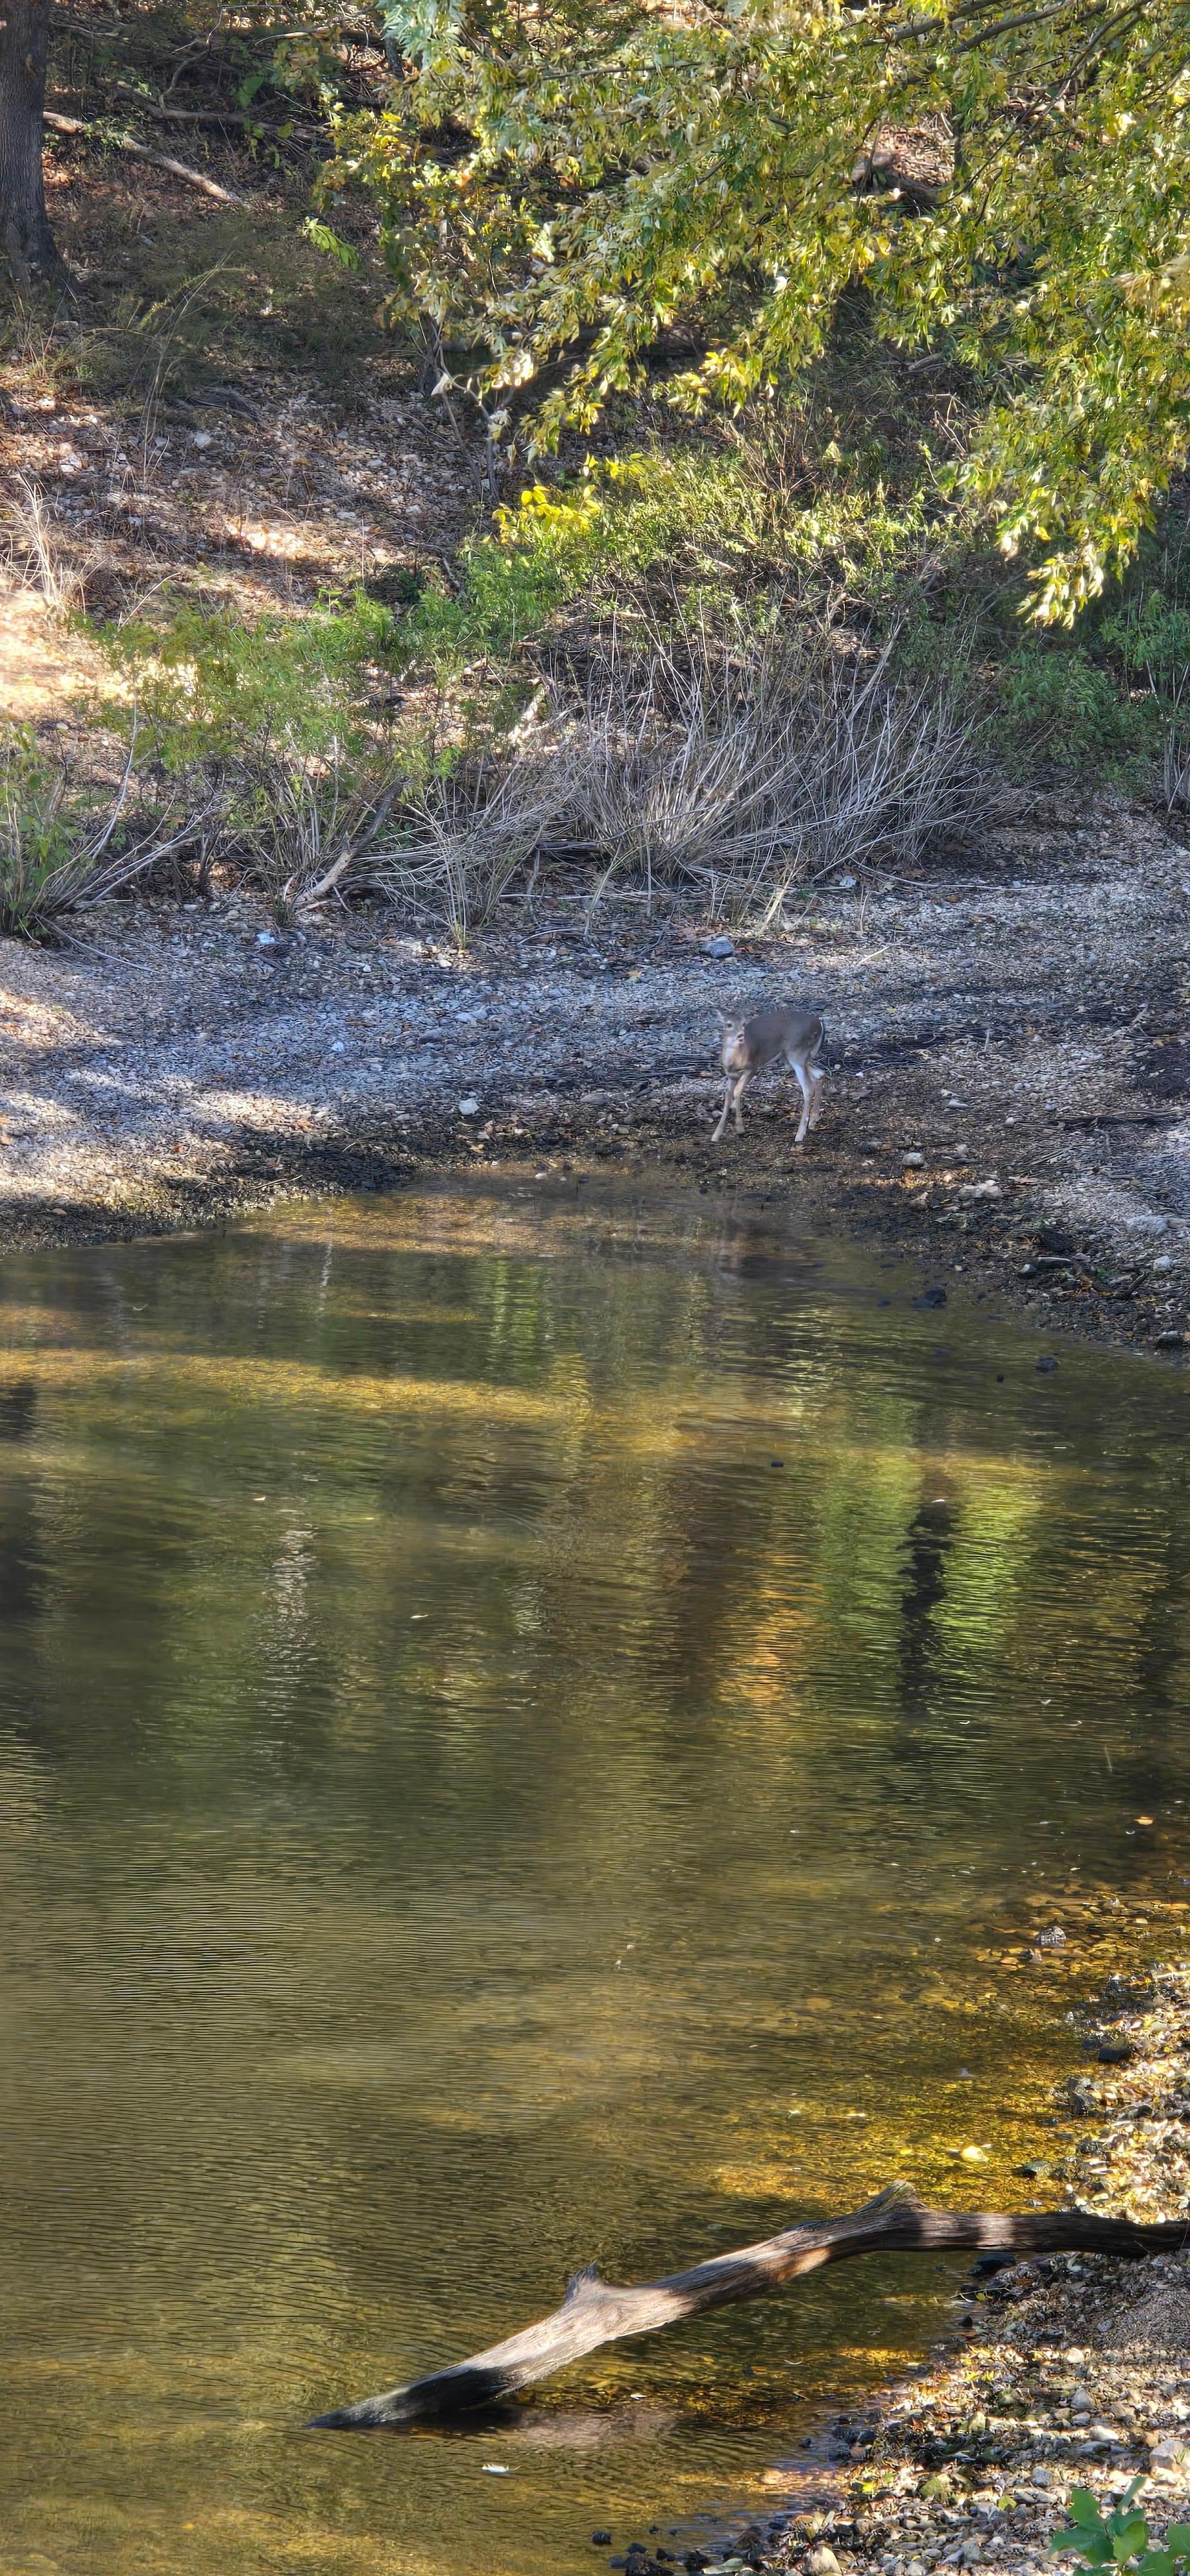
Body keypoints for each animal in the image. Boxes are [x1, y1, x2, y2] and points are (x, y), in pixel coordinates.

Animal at [711, 1006, 827, 1149]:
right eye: (728, 1024)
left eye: (744, 1024)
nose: (740, 1035)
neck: (735, 1060)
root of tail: (820, 1023)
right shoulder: (731, 1075)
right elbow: (727, 1097)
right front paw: (716, 1135)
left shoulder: (753, 1068)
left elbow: (737, 1092)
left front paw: (740, 1128)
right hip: (790, 1057)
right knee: (820, 1074)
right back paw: (813, 1122)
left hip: (797, 1053)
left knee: (808, 1088)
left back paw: (800, 1134)